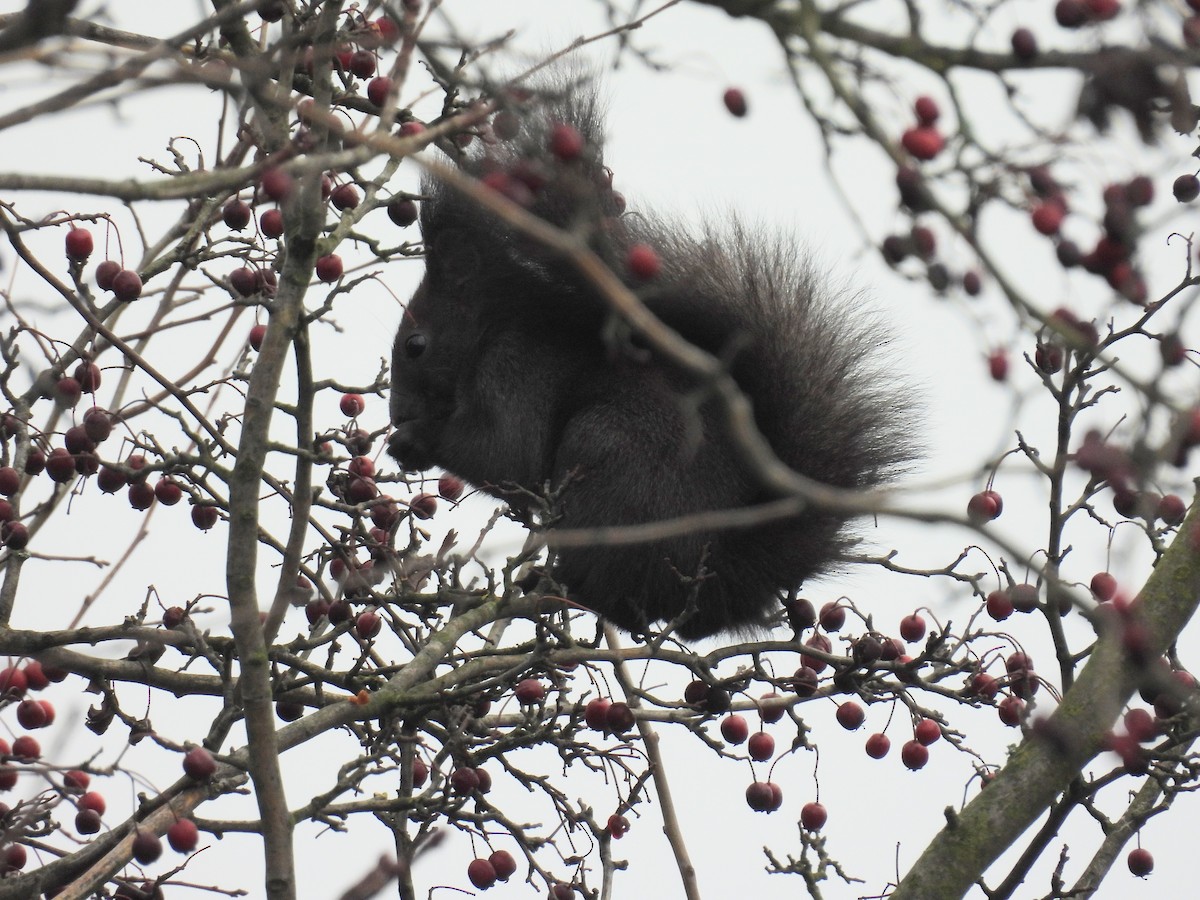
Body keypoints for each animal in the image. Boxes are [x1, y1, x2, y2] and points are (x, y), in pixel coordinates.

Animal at [387, 79, 913, 640]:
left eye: (415, 345)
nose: (395, 414)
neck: (492, 327)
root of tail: (721, 579)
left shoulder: (515, 370)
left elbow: (506, 452)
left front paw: (416, 440)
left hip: (609, 454)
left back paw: (558, 587)